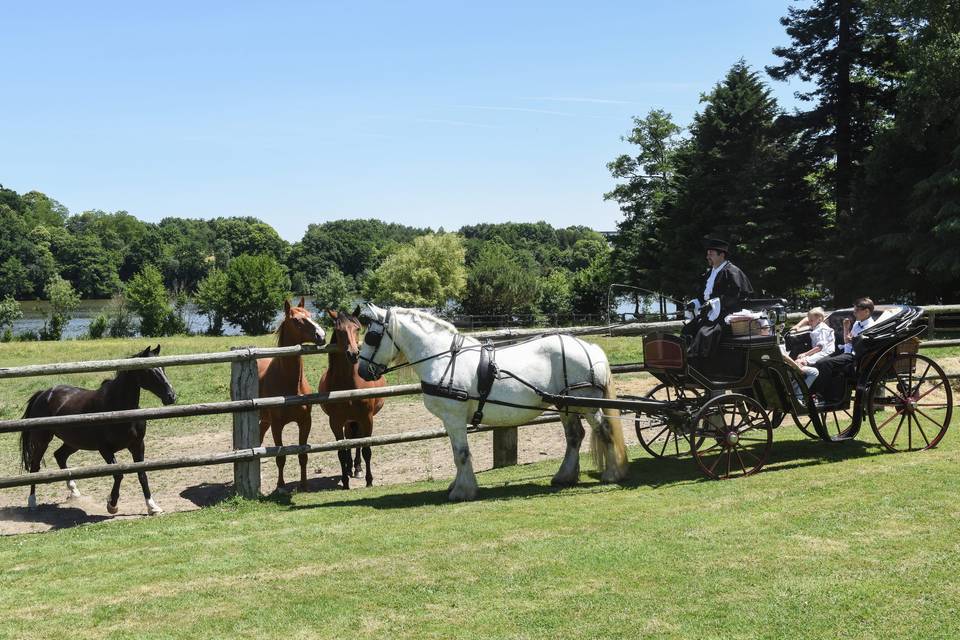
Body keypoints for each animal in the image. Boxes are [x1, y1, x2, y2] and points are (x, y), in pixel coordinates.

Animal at [19, 344, 177, 516]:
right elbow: (118, 474)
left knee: (59, 456)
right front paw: (112, 505)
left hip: (74, 442)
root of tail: (43, 393)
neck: (118, 408)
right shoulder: (105, 449)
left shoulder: (137, 445)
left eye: (163, 367)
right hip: (42, 441)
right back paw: (32, 502)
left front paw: (152, 506)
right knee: (35, 467)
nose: (171, 396)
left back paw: (74, 492)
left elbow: (142, 474)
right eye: (149, 370)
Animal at [255, 298, 326, 492]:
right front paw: (280, 486)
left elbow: (303, 454)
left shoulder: (305, 422)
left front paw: (304, 484)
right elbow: (281, 456)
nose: (321, 335)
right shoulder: (277, 425)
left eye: (310, 314)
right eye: (296, 320)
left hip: (265, 420)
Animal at [318, 308, 386, 488]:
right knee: (350, 439)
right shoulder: (335, 422)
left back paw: (357, 468)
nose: (353, 354)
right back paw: (349, 468)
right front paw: (345, 481)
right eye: (339, 330)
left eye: (357, 328)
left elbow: (366, 449)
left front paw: (369, 480)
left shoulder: (367, 418)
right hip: (348, 420)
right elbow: (342, 451)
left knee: (357, 440)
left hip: (358, 419)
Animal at [356, 302, 628, 502]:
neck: (443, 358)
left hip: (588, 404)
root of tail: (589, 347)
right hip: (566, 404)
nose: (361, 371)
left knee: (604, 431)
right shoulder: (450, 421)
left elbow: (461, 453)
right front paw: (457, 484)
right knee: (574, 436)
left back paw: (612, 474)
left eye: (371, 337)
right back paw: (565, 477)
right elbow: (457, 454)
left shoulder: (454, 418)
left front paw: (463, 491)